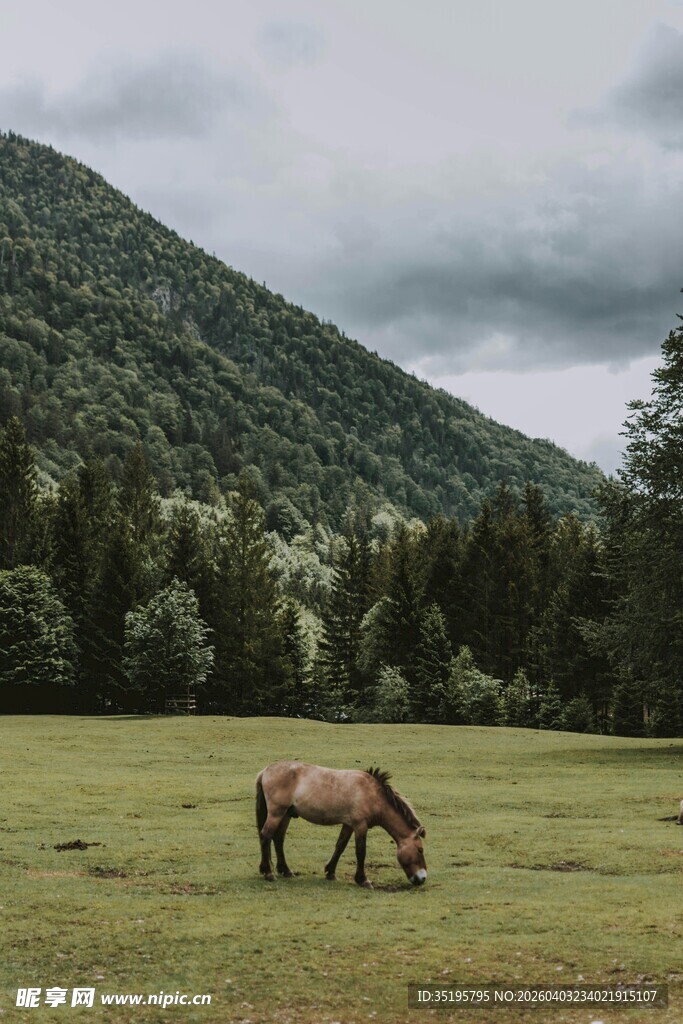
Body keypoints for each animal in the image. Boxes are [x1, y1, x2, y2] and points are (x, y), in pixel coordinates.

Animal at [255, 761, 427, 889]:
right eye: (420, 849)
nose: (422, 878)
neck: (372, 794)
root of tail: (265, 771)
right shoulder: (360, 826)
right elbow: (360, 852)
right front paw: (363, 880)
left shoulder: (349, 825)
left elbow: (340, 846)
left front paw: (330, 872)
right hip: (276, 813)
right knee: (265, 836)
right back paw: (268, 873)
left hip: (286, 814)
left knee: (278, 839)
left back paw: (286, 871)